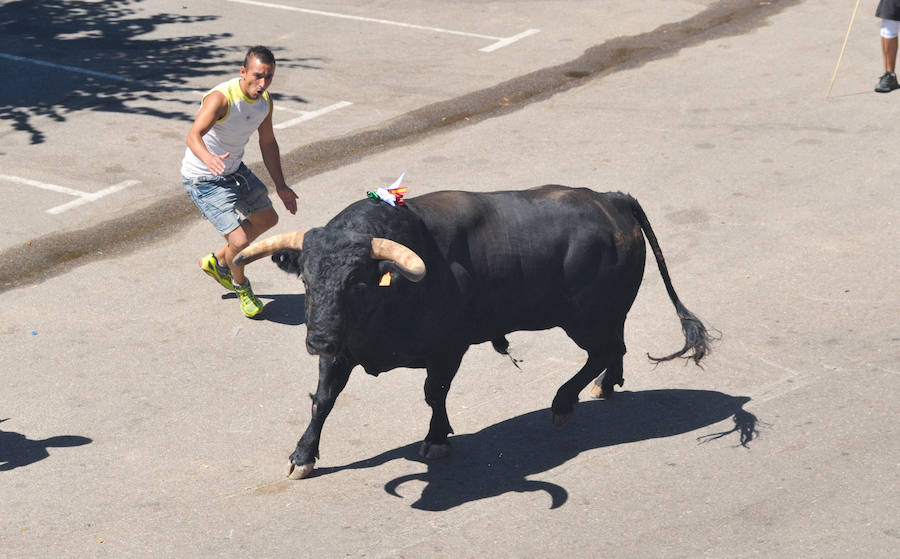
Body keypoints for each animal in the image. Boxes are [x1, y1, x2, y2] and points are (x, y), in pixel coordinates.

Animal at [236, 186, 712, 480]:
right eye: (306, 280)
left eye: (357, 282)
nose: (316, 339)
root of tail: (611, 199)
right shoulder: (343, 349)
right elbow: (324, 399)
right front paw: (302, 456)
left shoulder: (448, 348)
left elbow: (434, 393)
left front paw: (436, 440)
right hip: (606, 312)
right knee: (616, 346)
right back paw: (606, 384)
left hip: (584, 317)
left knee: (602, 349)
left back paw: (563, 402)